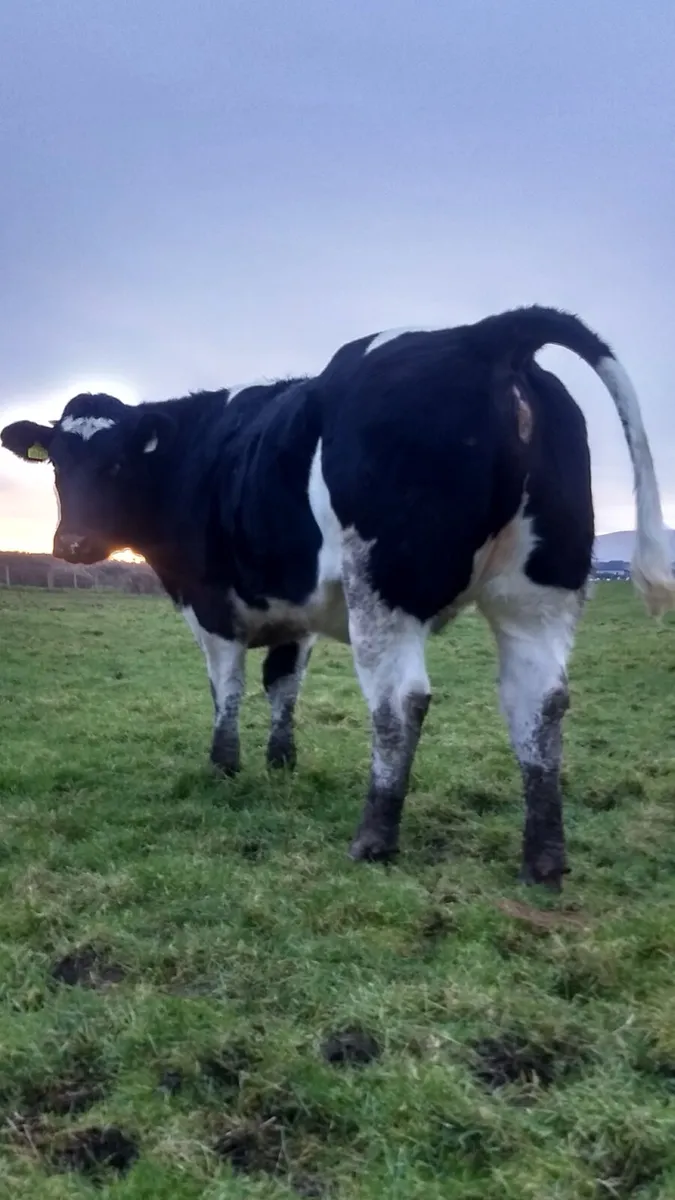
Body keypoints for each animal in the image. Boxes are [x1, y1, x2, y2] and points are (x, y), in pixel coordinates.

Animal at [3, 305, 673, 890]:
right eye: (57, 463)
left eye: (115, 463)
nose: (72, 543)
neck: (195, 454)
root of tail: (483, 334)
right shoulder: (290, 609)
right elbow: (282, 684)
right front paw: (280, 761)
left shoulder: (210, 603)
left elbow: (227, 687)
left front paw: (224, 766)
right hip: (537, 595)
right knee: (540, 701)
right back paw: (543, 860)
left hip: (381, 589)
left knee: (401, 701)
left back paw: (373, 839)